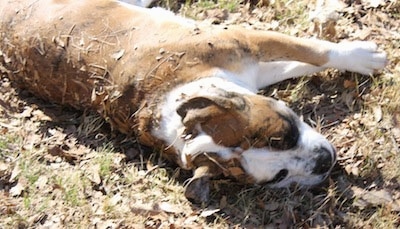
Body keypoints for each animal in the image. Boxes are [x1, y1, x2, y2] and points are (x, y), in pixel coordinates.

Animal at [0, 0, 388, 202]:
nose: (324, 162)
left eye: (283, 136)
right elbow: (308, 56)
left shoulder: (247, 44)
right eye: (279, 176)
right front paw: (363, 56)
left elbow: (312, 52)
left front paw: (358, 55)